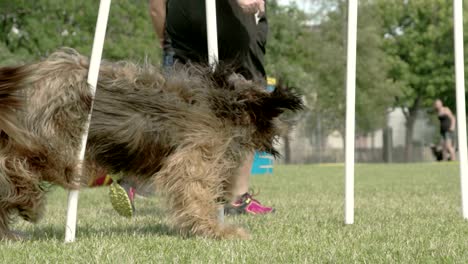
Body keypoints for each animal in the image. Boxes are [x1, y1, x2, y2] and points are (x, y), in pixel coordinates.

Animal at [0, 48, 302, 240]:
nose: (278, 141)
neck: (224, 101)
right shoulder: (194, 156)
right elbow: (195, 191)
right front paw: (217, 231)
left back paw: (11, 228)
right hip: (53, 141)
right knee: (17, 167)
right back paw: (28, 204)